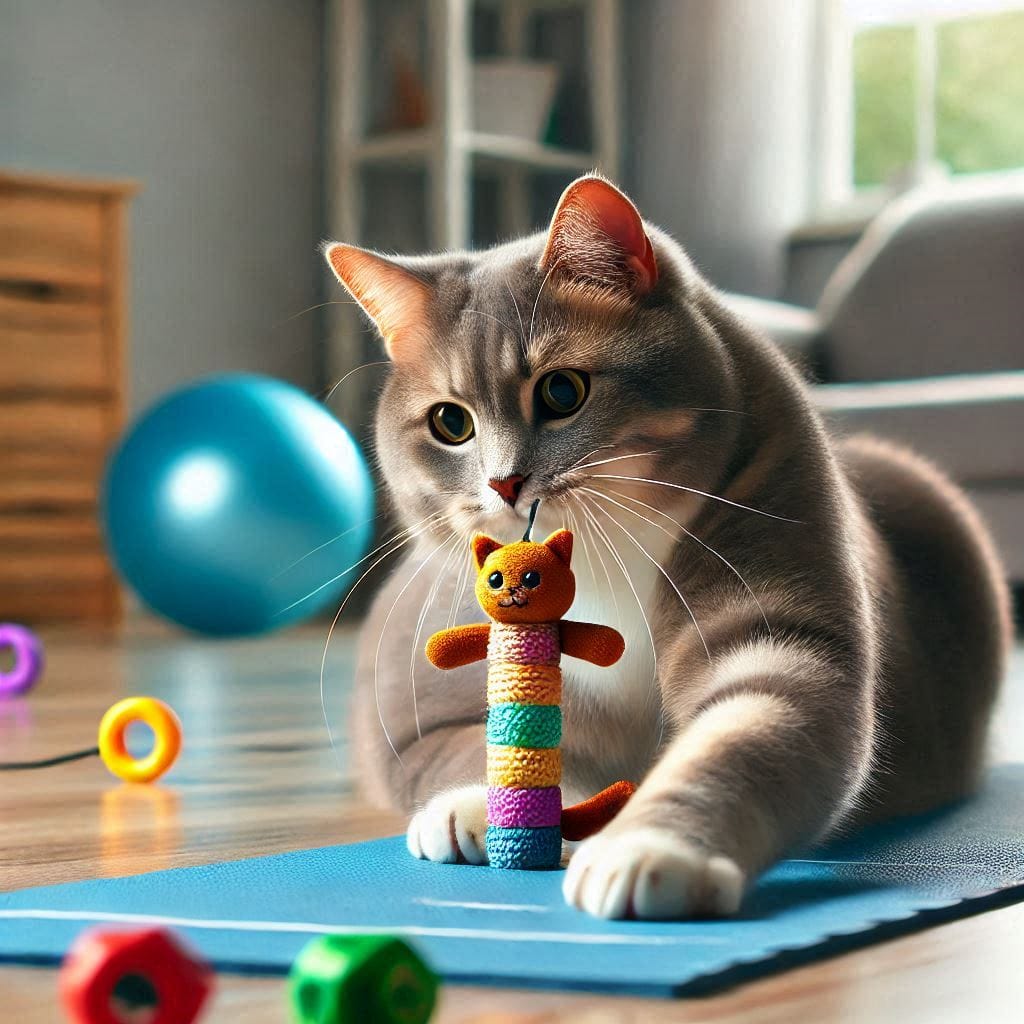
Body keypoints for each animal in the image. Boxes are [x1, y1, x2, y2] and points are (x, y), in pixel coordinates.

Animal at [323, 176, 1011, 921]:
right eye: (451, 423)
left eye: (562, 390)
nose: (504, 483)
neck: (594, 562)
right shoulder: (420, 706)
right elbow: (468, 743)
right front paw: (477, 806)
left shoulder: (780, 622)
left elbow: (748, 731)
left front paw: (650, 848)